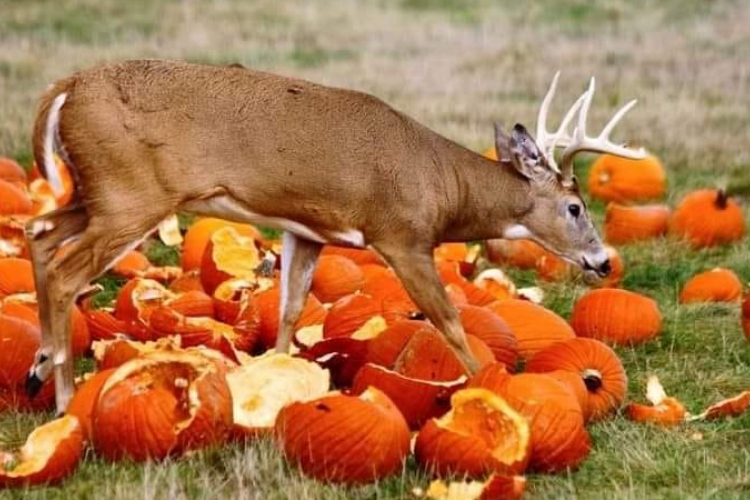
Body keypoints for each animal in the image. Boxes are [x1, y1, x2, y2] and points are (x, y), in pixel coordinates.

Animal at [23, 60, 648, 412]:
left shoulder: (308, 231)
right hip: (131, 196)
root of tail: (65, 87)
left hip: (97, 194)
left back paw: (36, 371)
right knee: (65, 269)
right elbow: (448, 319)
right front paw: (487, 385)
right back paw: (62, 399)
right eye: (574, 206)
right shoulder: (401, 234)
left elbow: (289, 311)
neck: (440, 185)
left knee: (38, 231)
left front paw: (275, 384)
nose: (603, 261)